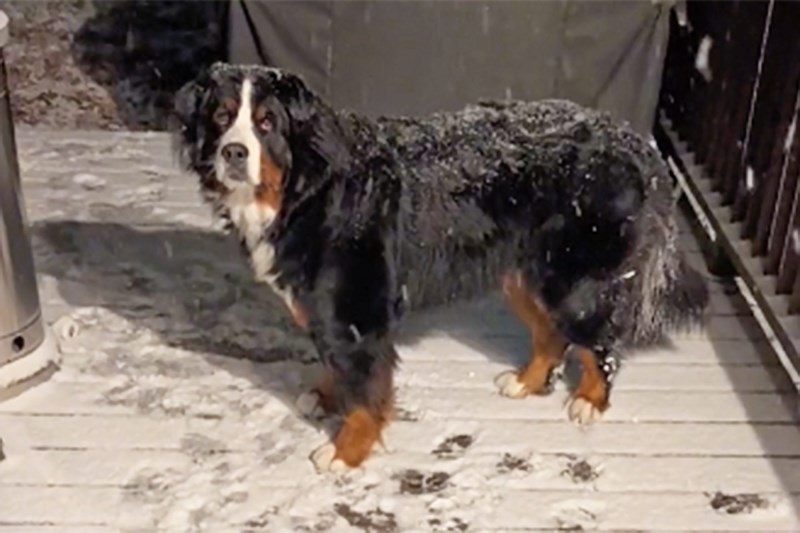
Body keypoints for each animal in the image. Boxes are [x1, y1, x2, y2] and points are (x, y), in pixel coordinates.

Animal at [172, 62, 708, 474]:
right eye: (221, 117)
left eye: (267, 124)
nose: (233, 152)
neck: (305, 191)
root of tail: (632, 138)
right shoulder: (330, 311)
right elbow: (338, 367)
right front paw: (325, 397)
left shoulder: (356, 311)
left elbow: (365, 393)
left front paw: (345, 453)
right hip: (524, 272)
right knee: (550, 334)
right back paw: (525, 382)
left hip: (577, 280)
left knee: (599, 343)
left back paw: (590, 402)